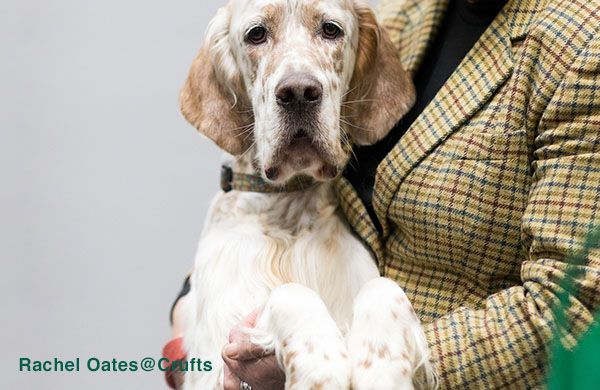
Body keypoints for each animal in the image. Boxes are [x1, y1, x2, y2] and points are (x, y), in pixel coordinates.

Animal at [178, 0, 436, 388]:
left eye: (331, 29)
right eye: (256, 34)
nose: (298, 92)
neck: (289, 219)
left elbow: (383, 288)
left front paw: (381, 367)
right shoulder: (215, 365)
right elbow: (289, 292)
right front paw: (322, 366)